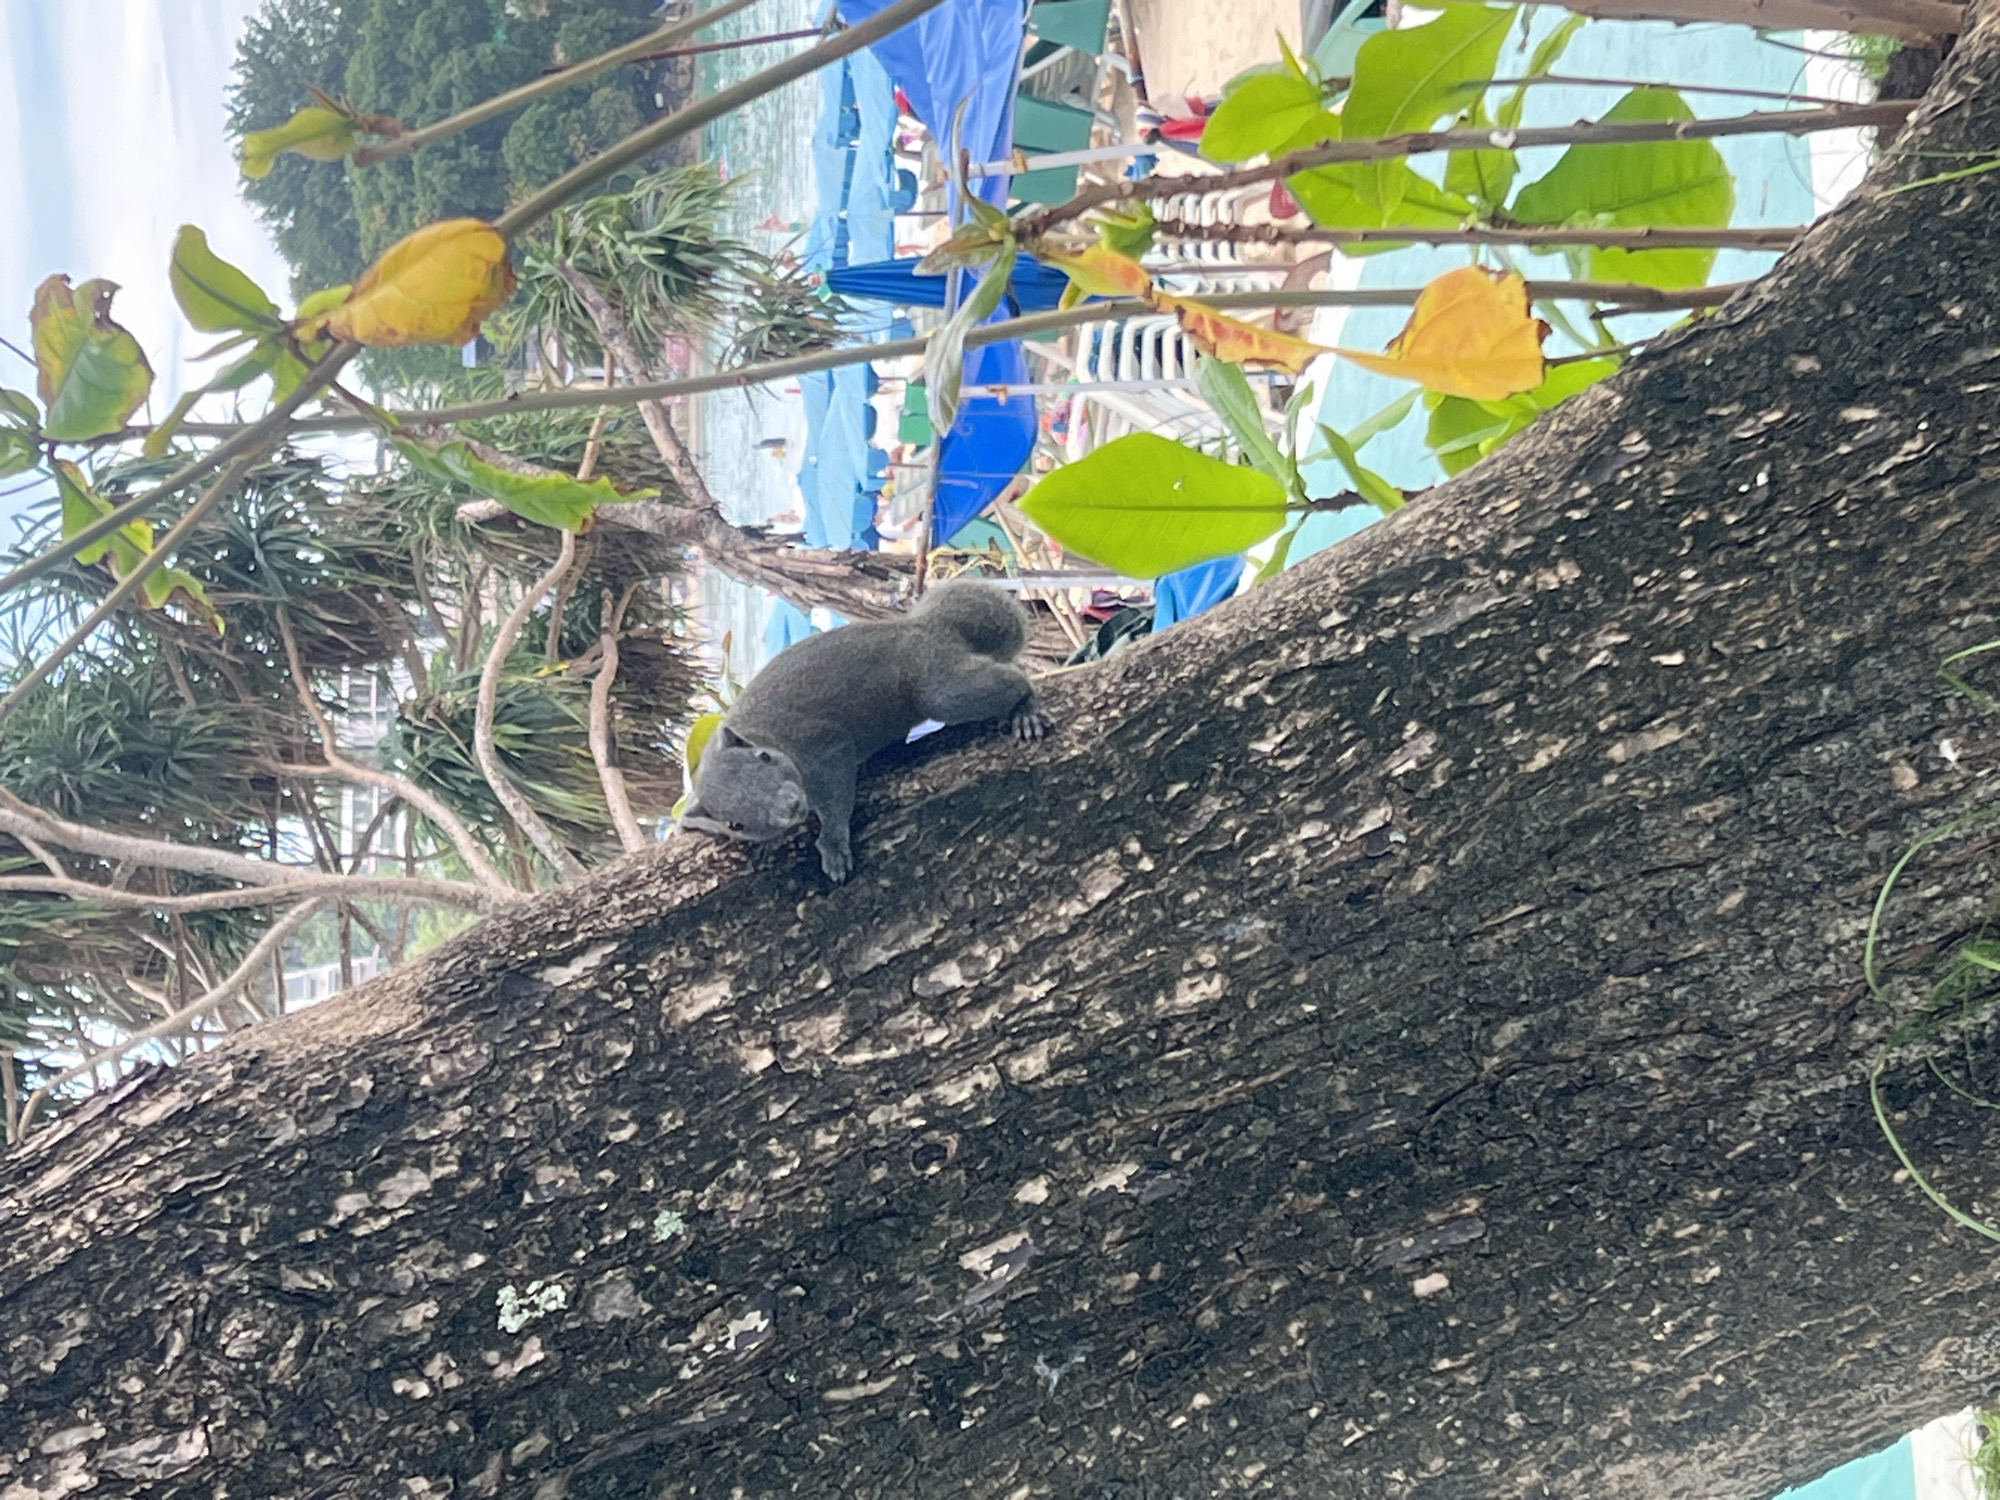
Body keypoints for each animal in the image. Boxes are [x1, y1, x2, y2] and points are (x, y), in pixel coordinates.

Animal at [680, 580, 1052, 881]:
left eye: (764, 757)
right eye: (735, 824)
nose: (790, 806)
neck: (768, 736)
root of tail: (927, 625)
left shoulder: (822, 746)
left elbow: (836, 792)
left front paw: (833, 846)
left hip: (938, 685)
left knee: (1004, 681)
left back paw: (1026, 709)